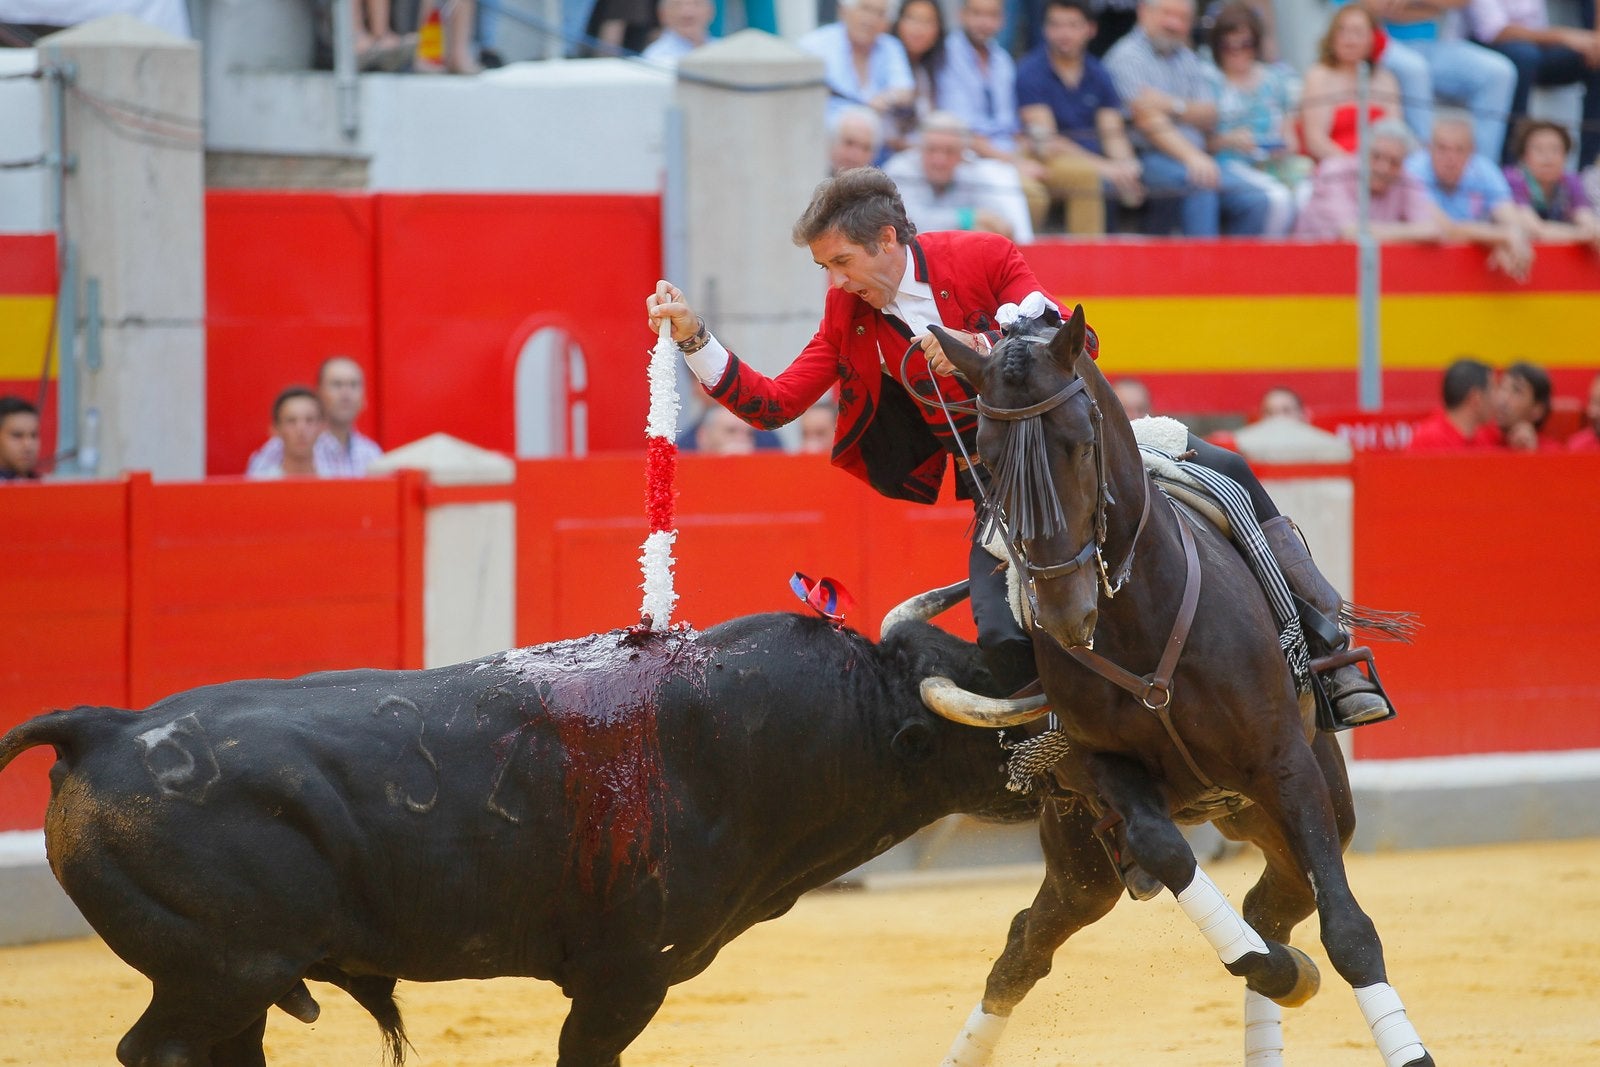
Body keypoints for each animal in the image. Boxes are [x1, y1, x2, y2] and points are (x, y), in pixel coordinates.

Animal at [0, 614, 1036, 1062]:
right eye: (989, 711)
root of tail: (107, 726)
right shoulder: (626, 978)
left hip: (233, 986)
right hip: (221, 973)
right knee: (158, 1050)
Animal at [921, 307, 1433, 1067]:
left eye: (1080, 446)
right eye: (983, 457)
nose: (1064, 613)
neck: (1139, 620)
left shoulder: (1284, 759)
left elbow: (1349, 932)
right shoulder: (1105, 767)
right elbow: (1167, 853)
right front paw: (1278, 970)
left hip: (1304, 797)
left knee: (1278, 900)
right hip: (1083, 857)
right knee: (1027, 945)